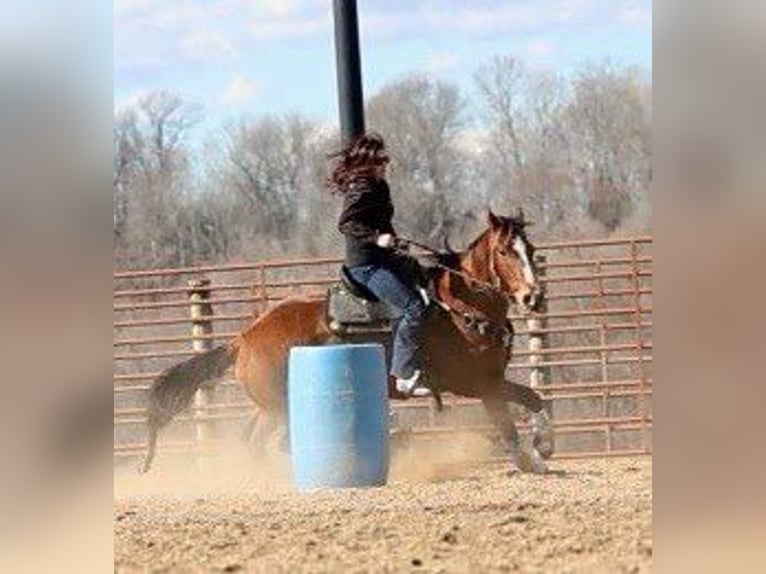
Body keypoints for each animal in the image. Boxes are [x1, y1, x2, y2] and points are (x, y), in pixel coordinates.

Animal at [140, 212, 560, 476]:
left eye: (531, 249)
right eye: (505, 251)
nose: (532, 296)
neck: (464, 305)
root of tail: (243, 338)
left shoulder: (491, 380)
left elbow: (533, 399)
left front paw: (543, 447)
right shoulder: (475, 382)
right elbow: (507, 423)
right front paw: (533, 459)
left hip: (270, 408)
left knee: (252, 441)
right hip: (281, 408)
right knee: (276, 443)